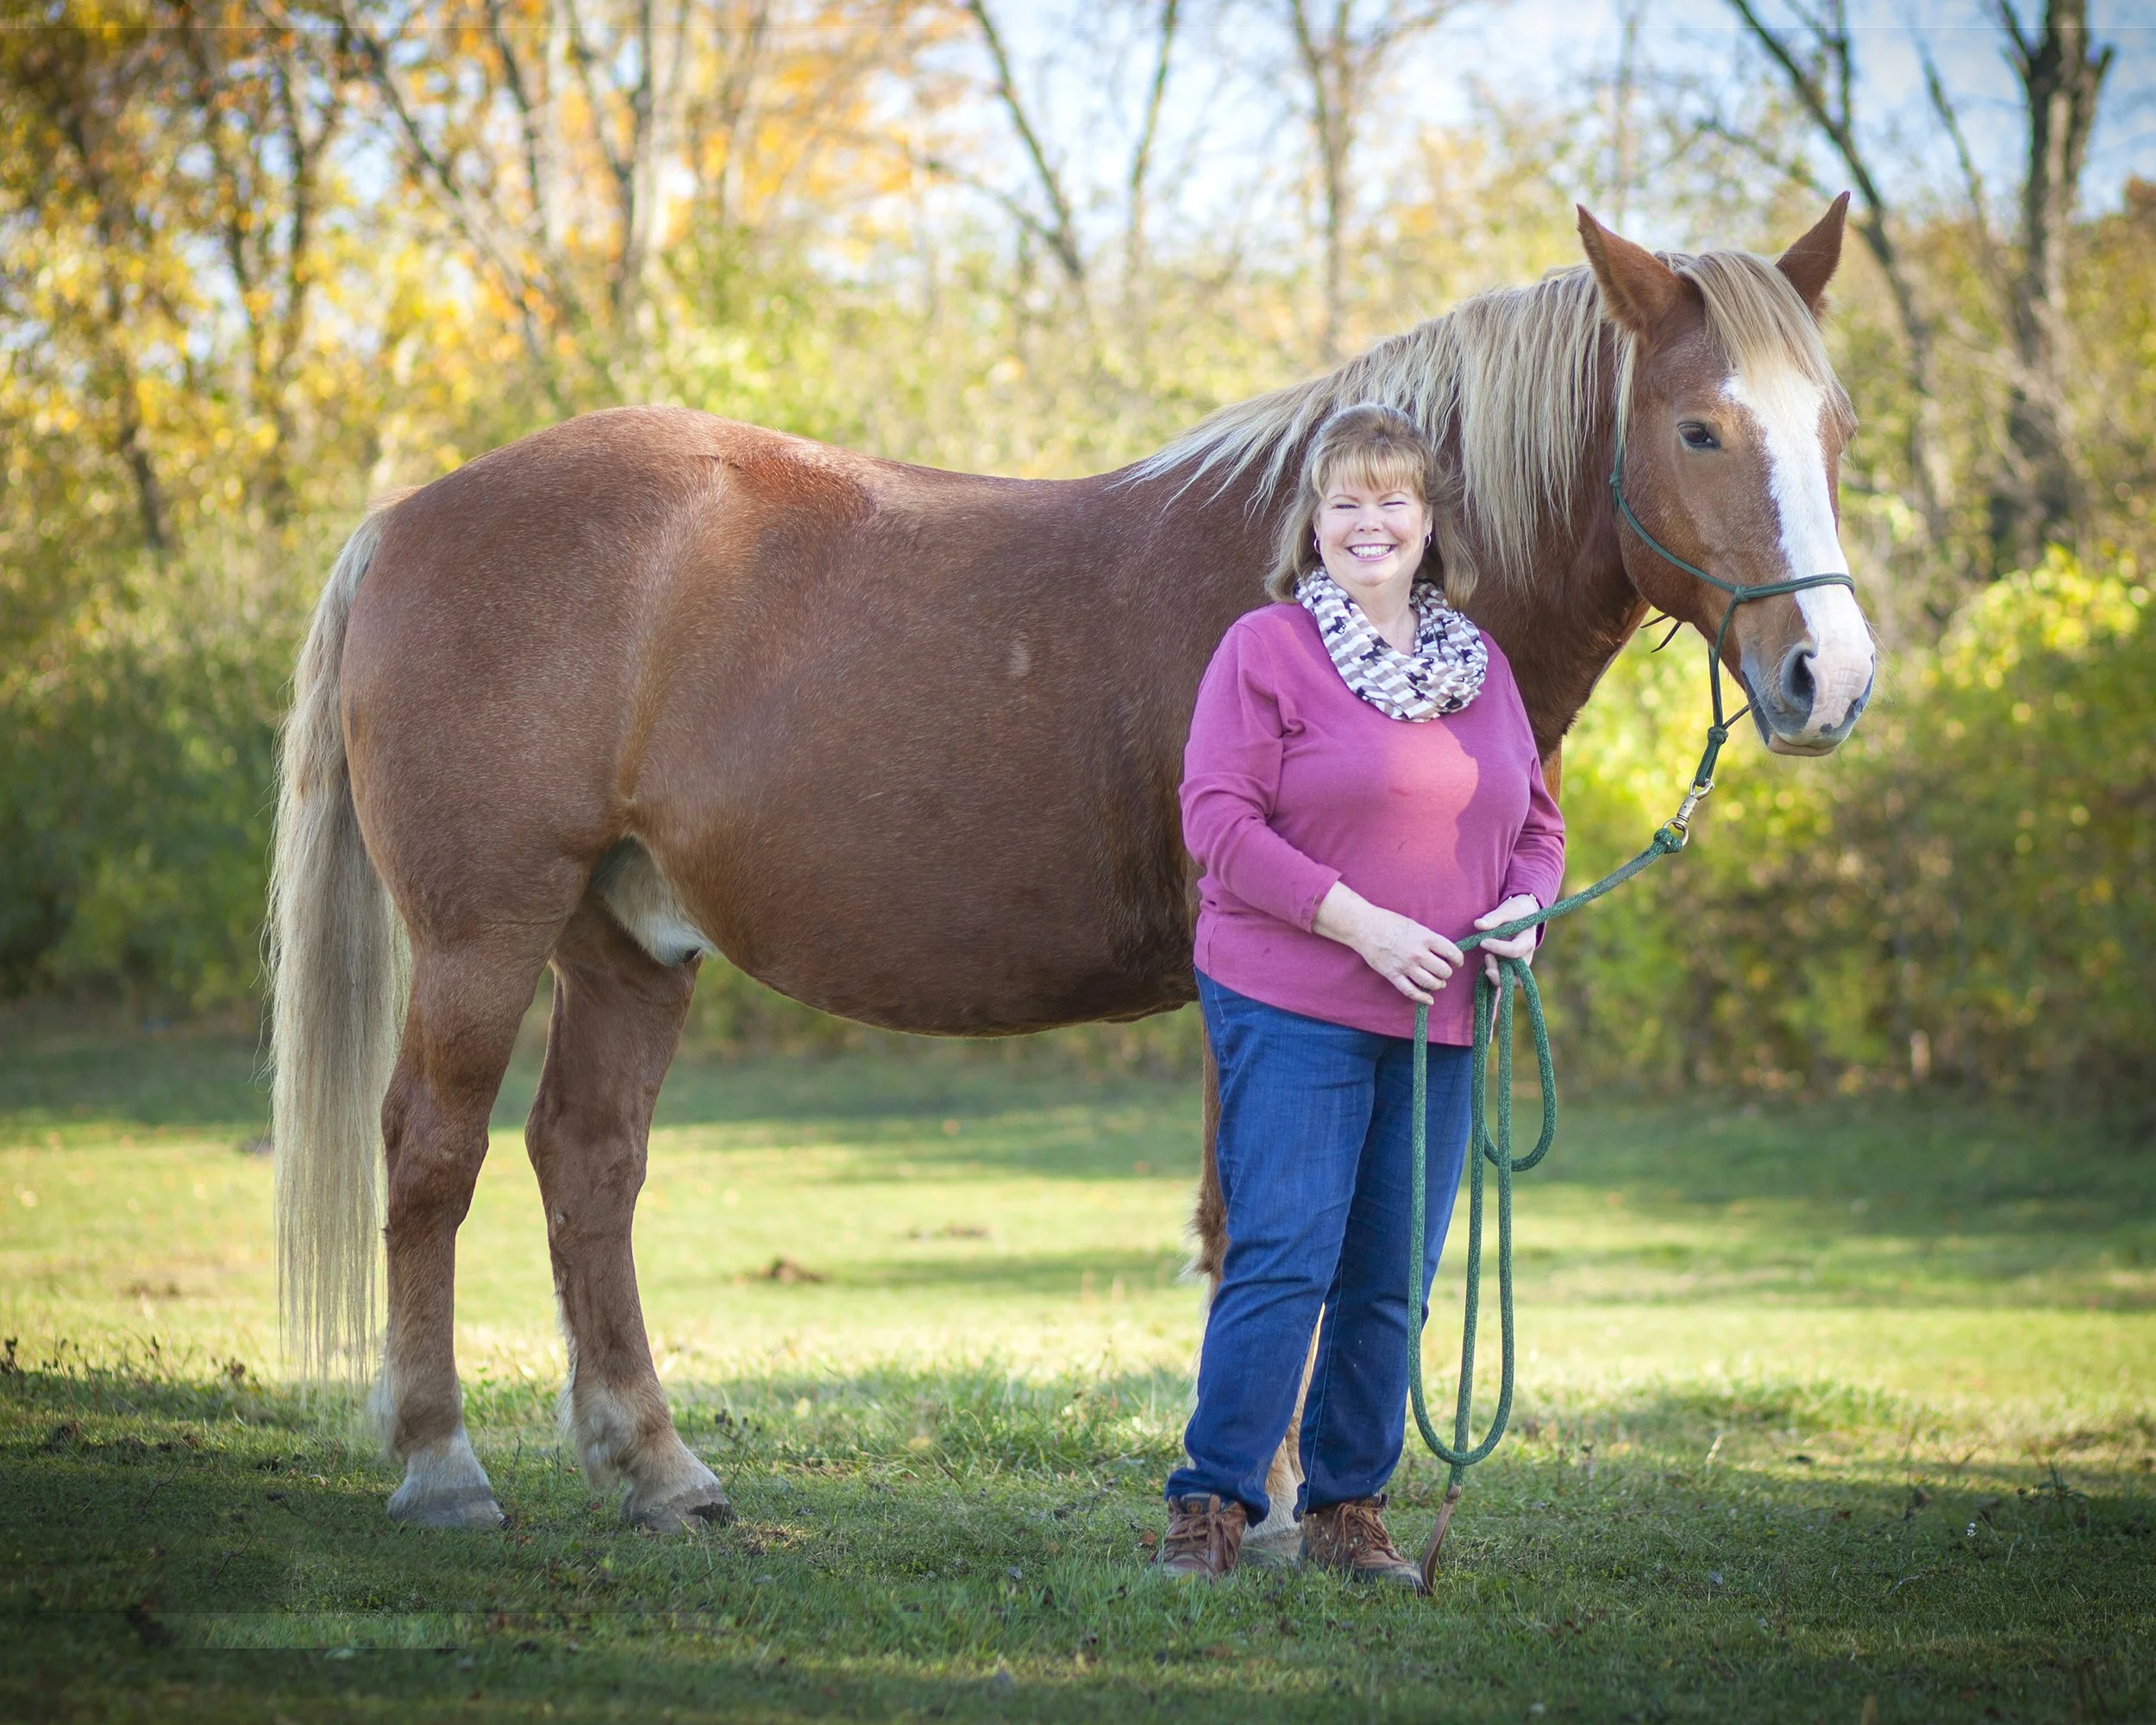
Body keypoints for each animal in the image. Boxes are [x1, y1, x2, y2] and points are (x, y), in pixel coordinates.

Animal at [270, 199, 1874, 1534]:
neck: (1308, 583)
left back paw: (661, 1472)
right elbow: (1258, 1219)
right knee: (433, 1153)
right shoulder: (1256, 976)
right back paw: (442, 1466)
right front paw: (1261, 1509)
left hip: (626, 939)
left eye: (1836, 429)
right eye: (1699, 431)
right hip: (484, 933)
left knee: (588, 1163)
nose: (1830, 678)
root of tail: (401, 522)